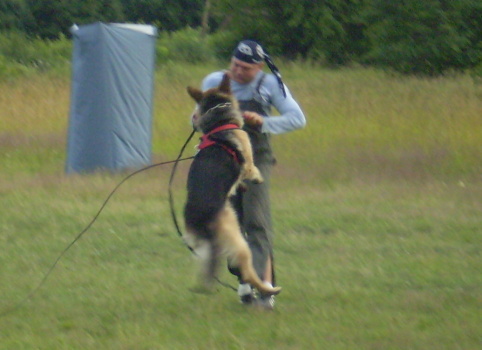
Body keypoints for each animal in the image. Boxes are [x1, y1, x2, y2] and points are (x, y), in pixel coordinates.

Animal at [185, 74, 282, 298]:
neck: (219, 123)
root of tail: (202, 218)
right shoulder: (247, 159)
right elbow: (252, 168)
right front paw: (256, 178)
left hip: (202, 246)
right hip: (237, 238)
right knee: (247, 271)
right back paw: (267, 288)